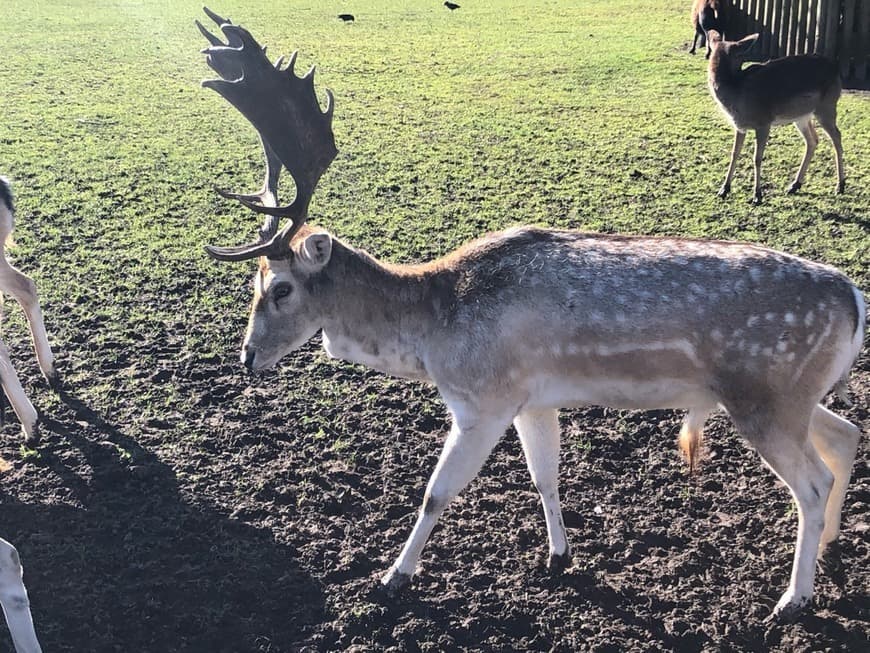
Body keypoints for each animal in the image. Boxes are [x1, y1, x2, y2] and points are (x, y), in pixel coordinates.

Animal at [712, 30, 848, 202]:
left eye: (740, 55)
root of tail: (836, 70)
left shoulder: (764, 122)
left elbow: (757, 158)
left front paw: (757, 195)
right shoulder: (740, 126)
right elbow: (734, 153)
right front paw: (723, 189)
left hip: (827, 107)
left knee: (837, 136)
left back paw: (840, 186)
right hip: (802, 116)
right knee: (813, 140)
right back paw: (794, 185)